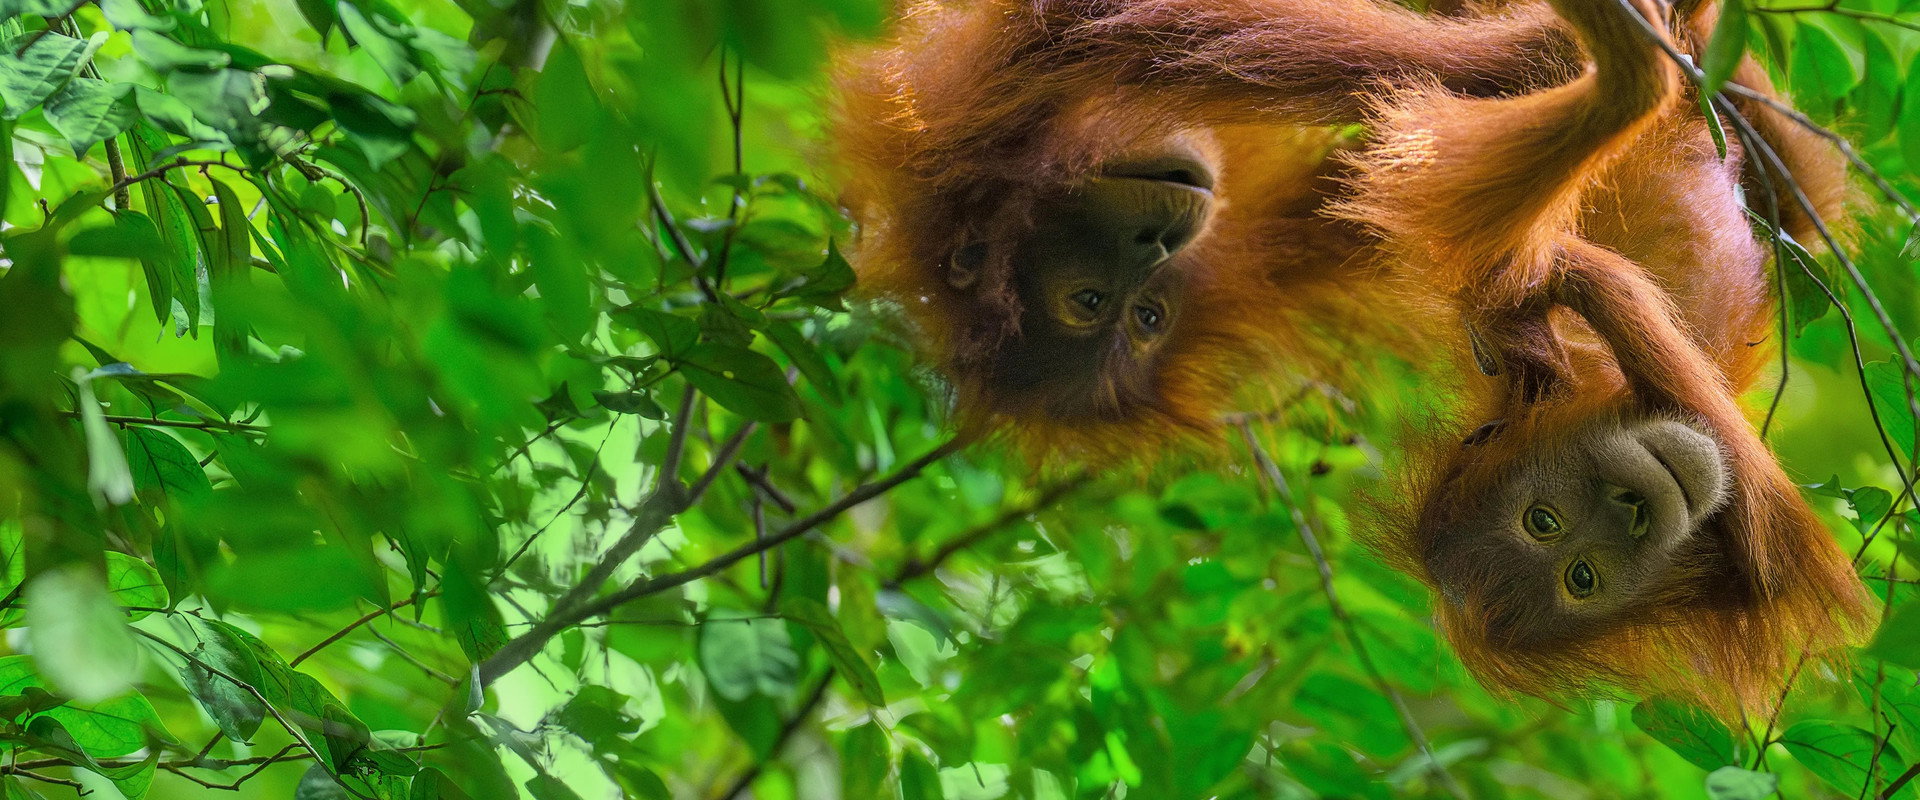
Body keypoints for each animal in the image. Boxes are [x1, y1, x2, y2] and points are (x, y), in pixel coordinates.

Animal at [1341, 0, 1874, 721]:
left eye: (1541, 521)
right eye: (1579, 575)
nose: (1633, 510)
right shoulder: (1755, 559)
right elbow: (1781, 549)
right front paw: (1578, 273)